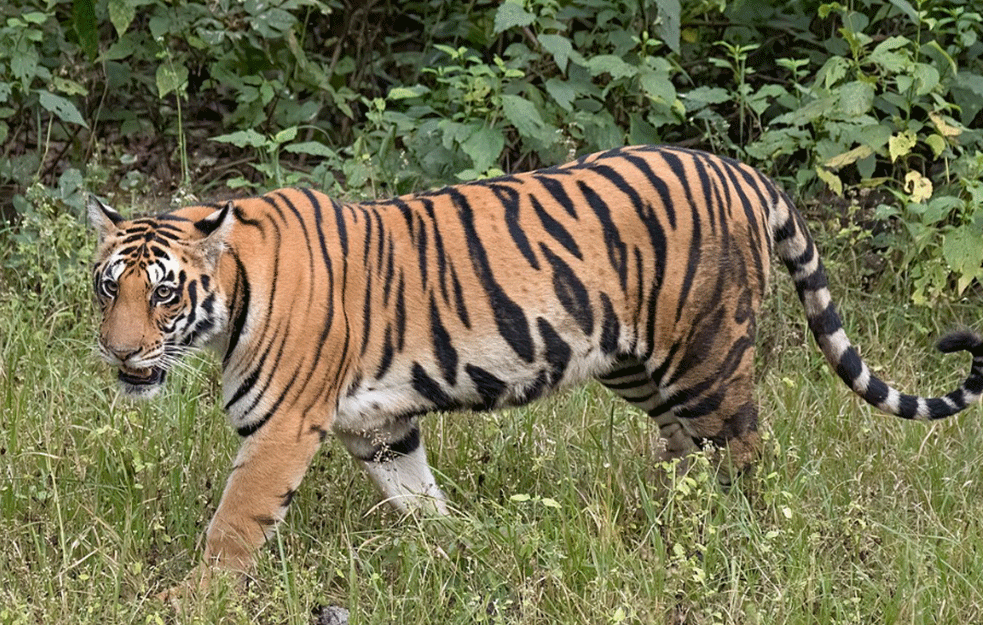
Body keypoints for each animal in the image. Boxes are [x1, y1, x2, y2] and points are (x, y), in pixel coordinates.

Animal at [86, 144, 983, 592]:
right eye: (107, 286)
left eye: (163, 293)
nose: (119, 352)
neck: (232, 296)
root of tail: (742, 169)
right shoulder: (379, 424)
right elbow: (418, 496)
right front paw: (457, 547)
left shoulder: (280, 428)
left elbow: (234, 523)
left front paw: (192, 601)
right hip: (636, 363)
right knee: (684, 450)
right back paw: (663, 522)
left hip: (706, 355)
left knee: (743, 453)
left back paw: (738, 542)